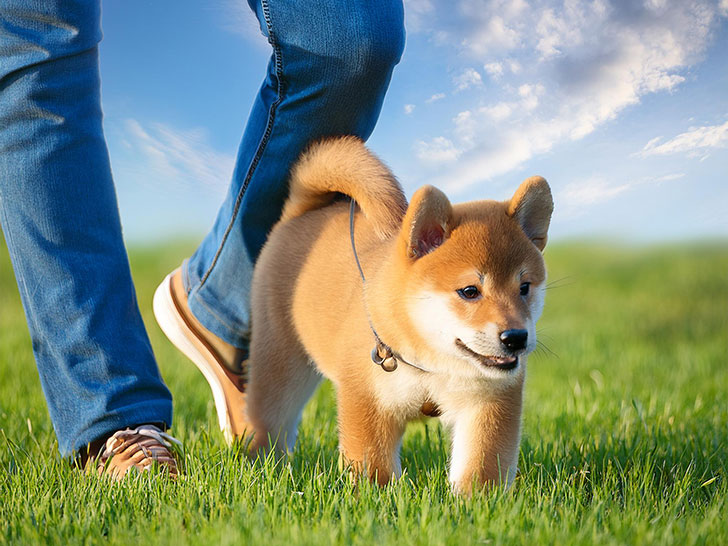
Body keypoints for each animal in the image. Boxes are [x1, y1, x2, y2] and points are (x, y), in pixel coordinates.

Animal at [245, 137, 552, 492]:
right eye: (469, 291)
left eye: (525, 287)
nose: (516, 338)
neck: (433, 364)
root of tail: (301, 213)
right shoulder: (368, 400)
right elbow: (371, 465)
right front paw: (374, 497)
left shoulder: (487, 403)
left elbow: (480, 467)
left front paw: (475, 502)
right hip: (282, 362)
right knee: (271, 417)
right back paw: (262, 463)